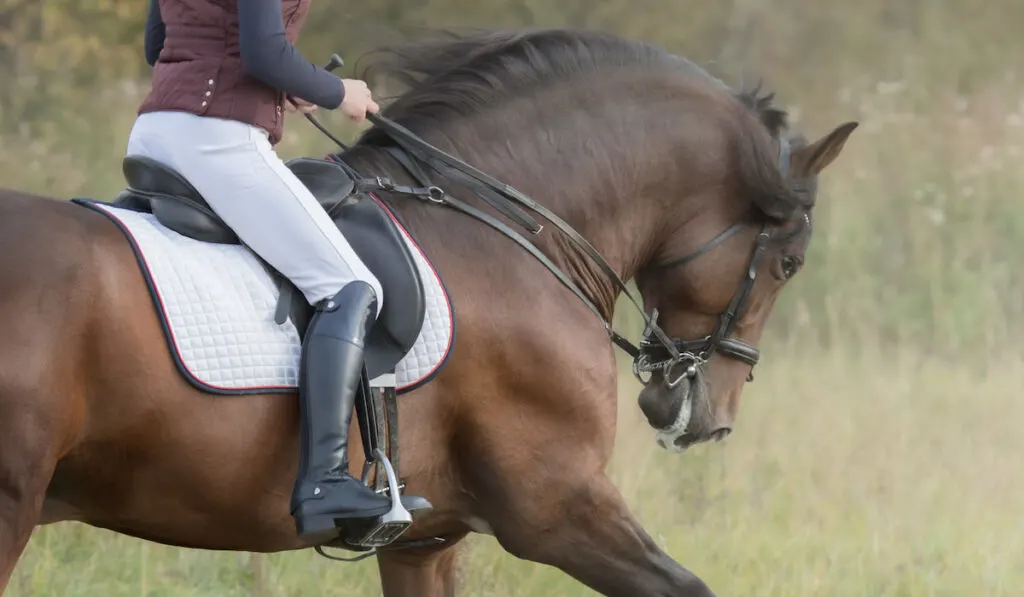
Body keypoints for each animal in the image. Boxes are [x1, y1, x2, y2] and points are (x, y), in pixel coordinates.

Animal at [0, 28, 856, 597]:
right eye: (789, 263)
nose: (703, 417)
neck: (509, 224)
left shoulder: (426, 539)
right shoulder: (558, 506)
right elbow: (688, 586)